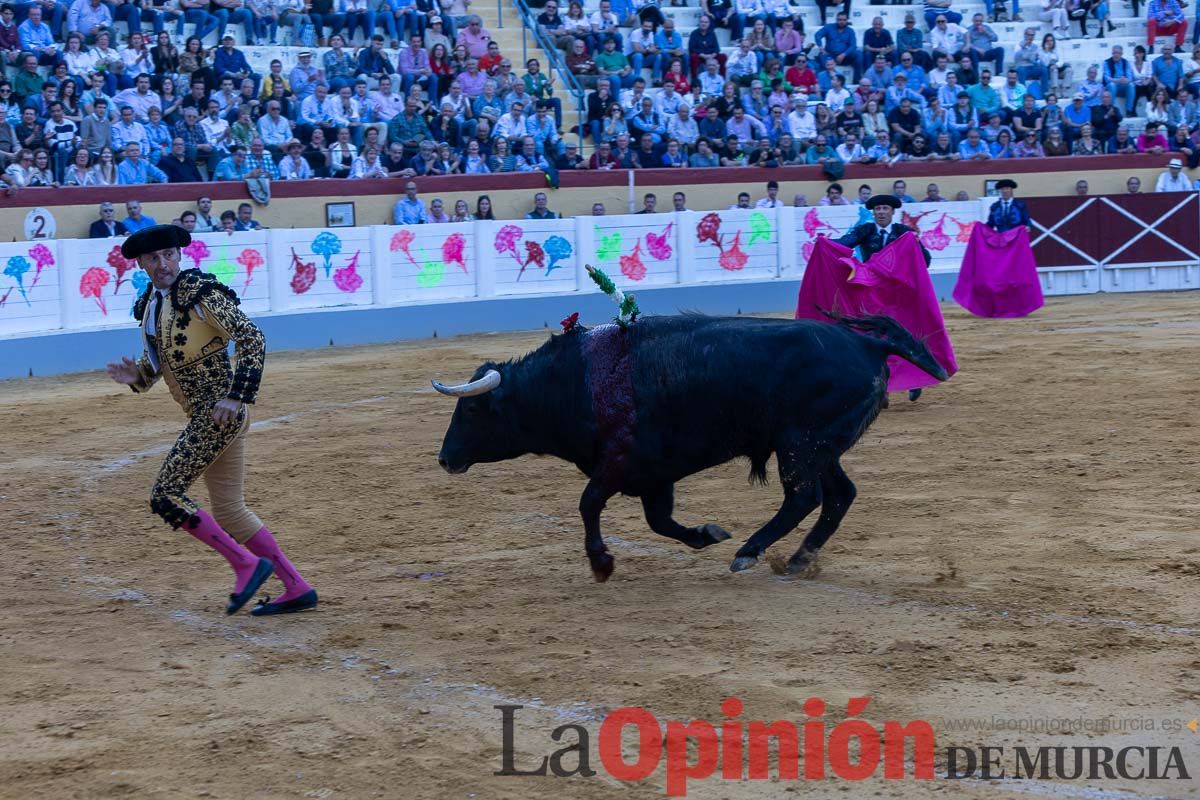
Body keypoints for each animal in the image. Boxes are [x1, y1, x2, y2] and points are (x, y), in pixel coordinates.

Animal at [434, 311, 945, 582]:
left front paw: (601, 563)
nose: (445, 458)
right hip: (820, 448)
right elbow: (660, 521)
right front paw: (707, 534)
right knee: (839, 495)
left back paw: (751, 551)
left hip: (799, 444)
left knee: (804, 497)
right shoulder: (654, 475)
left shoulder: (618, 463)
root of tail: (866, 345)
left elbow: (589, 504)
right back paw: (798, 558)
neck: (576, 381)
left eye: (472, 410)